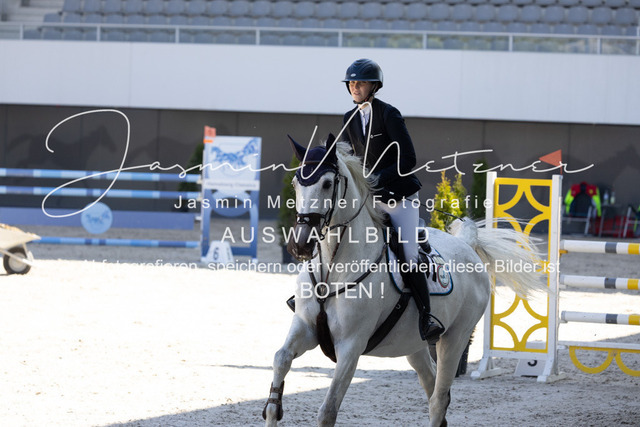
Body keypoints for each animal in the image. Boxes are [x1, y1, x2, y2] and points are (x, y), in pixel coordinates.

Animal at [263, 135, 545, 427]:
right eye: (296, 183)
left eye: (327, 183)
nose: (300, 245)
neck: (332, 269)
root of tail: (467, 244)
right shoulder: (305, 326)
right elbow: (280, 361)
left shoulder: (351, 345)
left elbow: (328, 411)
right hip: (414, 345)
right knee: (433, 388)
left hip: (454, 339)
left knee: (438, 398)